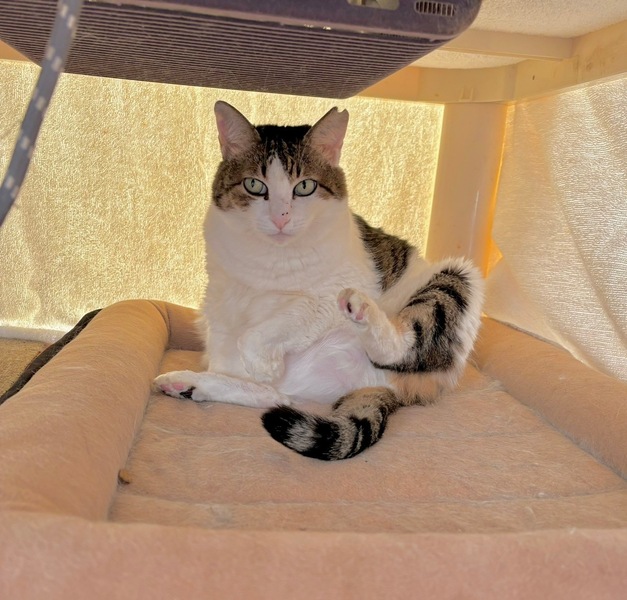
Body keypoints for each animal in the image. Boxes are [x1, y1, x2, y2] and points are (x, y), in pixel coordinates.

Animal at [154, 101, 484, 460]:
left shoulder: (326, 296)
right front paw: (257, 369)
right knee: (277, 397)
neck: (271, 258)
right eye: (255, 185)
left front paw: (264, 363)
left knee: (401, 348)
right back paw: (190, 383)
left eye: (305, 187)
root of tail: (378, 386)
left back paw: (360, 310)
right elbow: (238, 341)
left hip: (457, 278)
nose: (281, 217)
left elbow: (266, 329)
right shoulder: (222, 294)